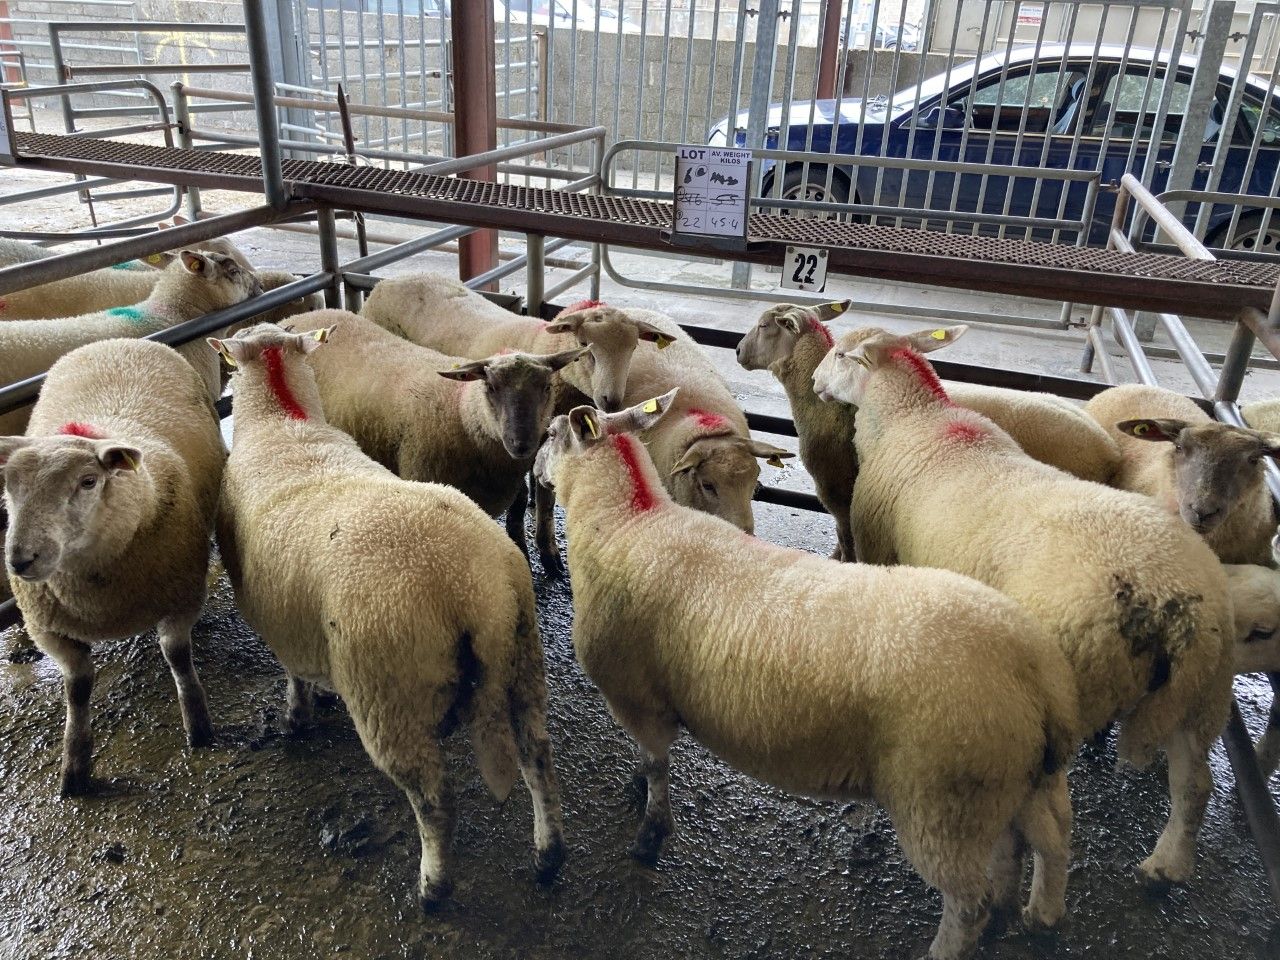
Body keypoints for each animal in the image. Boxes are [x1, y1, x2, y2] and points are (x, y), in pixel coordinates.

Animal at [1, 336, 225, 794]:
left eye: (88, 481)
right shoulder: (50, 629)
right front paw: (75, 765)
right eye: (9, 487)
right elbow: (77, 689)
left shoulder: (181, 596)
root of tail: (118, 341)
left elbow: (177, 656)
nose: (20, 559)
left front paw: (198, 725)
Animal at [210, 322, 565, 909]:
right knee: (538, 758)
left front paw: (296, 717)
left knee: (434, 800)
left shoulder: (280, 617)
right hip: (523, 653)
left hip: (388, 691)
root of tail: (470, 590)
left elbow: (292, 673)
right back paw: (547, 856)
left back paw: (432, 888)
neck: (285, 424)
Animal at [532, 389, 1078, 960]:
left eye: (552, 434)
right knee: (1045, 838)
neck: (625, 521)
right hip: (1016, 777)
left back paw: (955, 943)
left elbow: (658, 767)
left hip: (946, 803)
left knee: (969, 901)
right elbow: (647, 759)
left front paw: (648, 836)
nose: (534, 471)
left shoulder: (637, 696)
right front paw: (640, 792)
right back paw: (1032, 913)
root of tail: (1035, 668)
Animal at [813, 325, 1235, 890]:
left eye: (840, 354)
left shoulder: (878, 544)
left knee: (1052, 814)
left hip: (1071, 689)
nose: (814, 382)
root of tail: (1170, 599)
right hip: (1208, 691)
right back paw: (1166, 867)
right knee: (1196, 785)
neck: (916, 419)